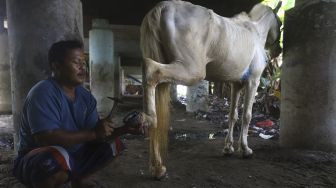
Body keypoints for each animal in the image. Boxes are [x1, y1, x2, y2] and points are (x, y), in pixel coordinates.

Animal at [140, 0, 282, 179]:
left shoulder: (236, 84)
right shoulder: (253, 81)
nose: (278, 51)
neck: (255, 31)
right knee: (151, 69)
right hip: (191, 70)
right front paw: (245, 149)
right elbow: (247, 116)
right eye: (280, 23)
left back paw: (156, 166)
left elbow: (232, 115)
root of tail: (164, 6)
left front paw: (228, 148)